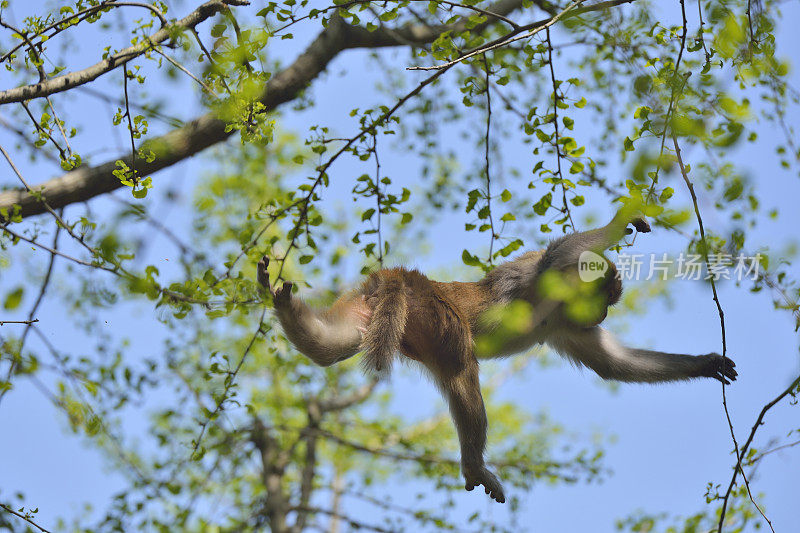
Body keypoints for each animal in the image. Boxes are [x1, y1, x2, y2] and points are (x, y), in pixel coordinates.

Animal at [258, 208, 736, 502]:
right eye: (604, 299)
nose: (600, 313)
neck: (558, 304)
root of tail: (406, 278)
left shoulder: (566, 326)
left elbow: (613, 365)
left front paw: (707, 364)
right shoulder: (542, 278)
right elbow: (557, 254)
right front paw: (621, 220)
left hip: (372, 310)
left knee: (332, 345)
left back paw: (282, 305)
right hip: (437, 313)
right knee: (460, 369)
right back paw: (474, 465)